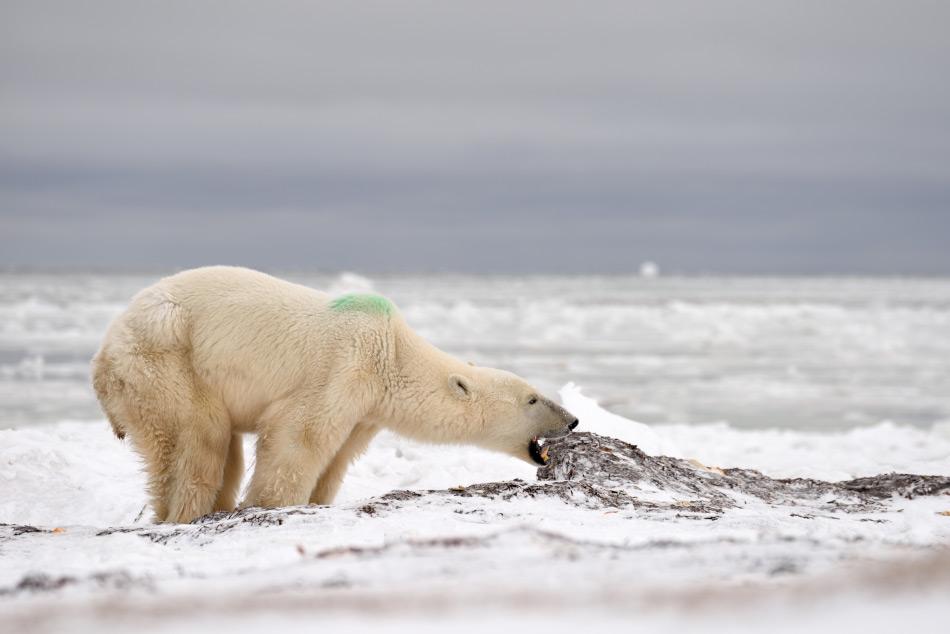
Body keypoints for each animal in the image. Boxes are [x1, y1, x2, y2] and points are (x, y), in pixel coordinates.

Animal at [91, 264, 580, 520]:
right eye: (533, 398)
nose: (573, 419)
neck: (391, 352)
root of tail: (102, 358)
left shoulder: (366, 407)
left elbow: (339, 455)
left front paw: (317, 501)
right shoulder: (343, 367)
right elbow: (299, 439)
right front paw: (272, 505)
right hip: (168, 362)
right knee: (197, 440)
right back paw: (185, 512)